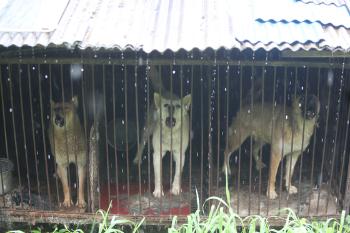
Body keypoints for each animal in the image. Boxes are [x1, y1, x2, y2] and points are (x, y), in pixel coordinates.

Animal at [133, 66, 191, 198]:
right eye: (165, 105)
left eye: (178, 106)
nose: (171, 108)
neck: (170, 135)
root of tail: (164, 90)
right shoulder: (157, 154)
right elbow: (158, 175)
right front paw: (158, 191)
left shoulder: (181, 154)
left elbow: (177, 173)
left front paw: (175, 188)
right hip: (147, 129)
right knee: (142, 142)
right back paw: (137, 159)